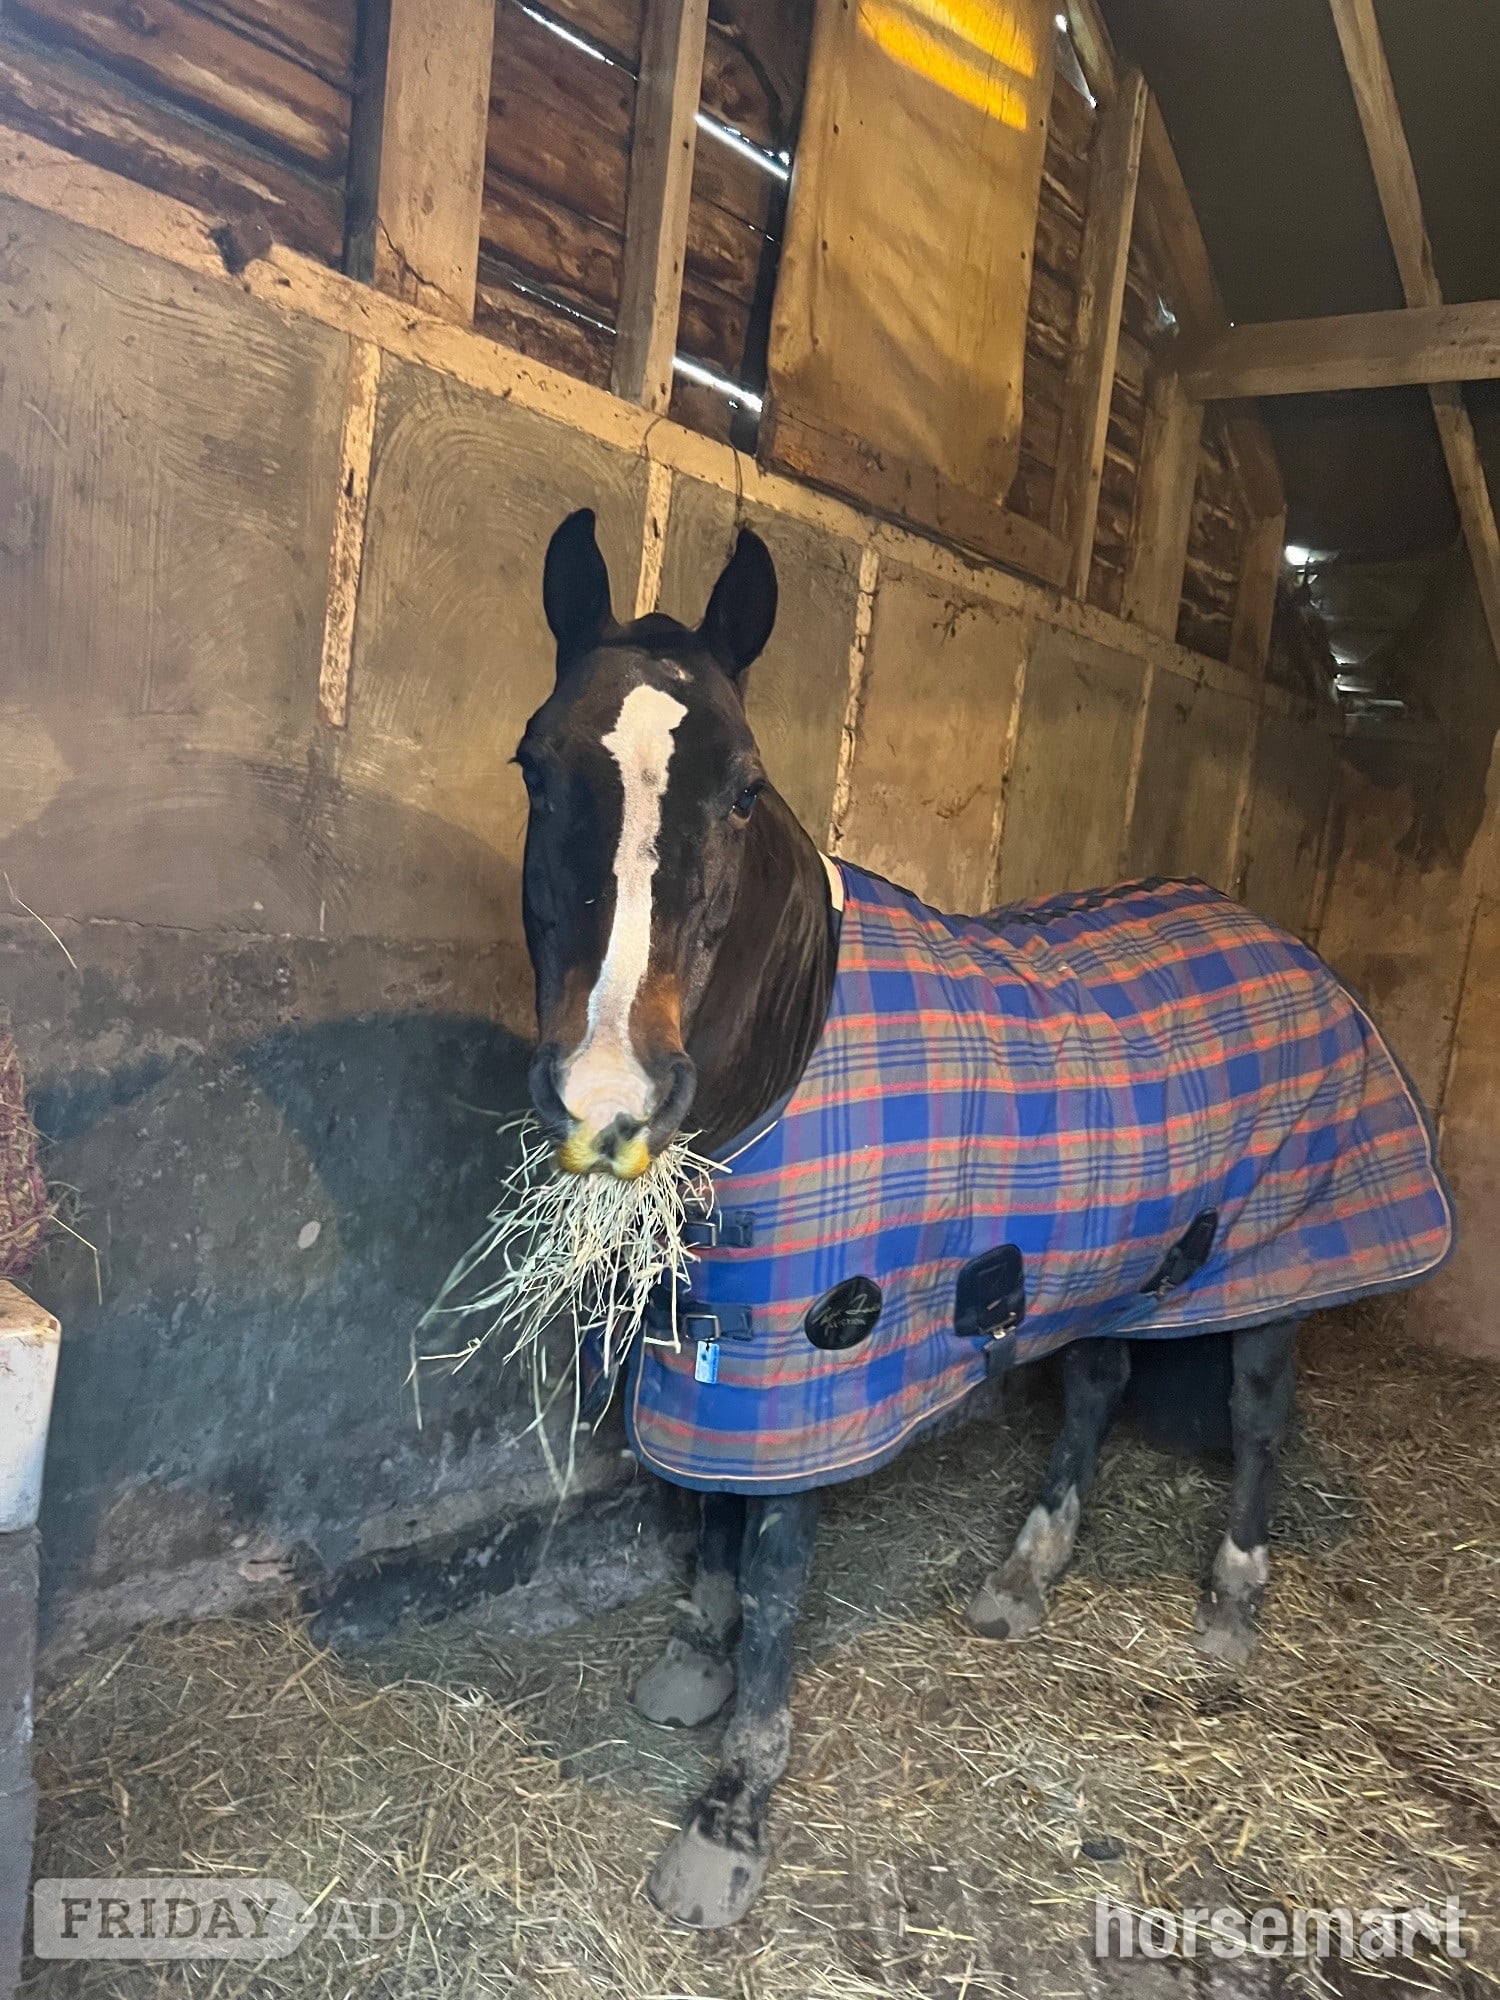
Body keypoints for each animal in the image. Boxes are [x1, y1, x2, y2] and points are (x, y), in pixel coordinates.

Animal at [515, 507, 1455, 1929]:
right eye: (535, 764)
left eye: (743, 789)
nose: (610, 1098)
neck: (795, 1039)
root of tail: (1292, 945)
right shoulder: (725, 1334)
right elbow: (715, 1513)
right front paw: (694, 1658)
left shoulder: (816, 1360)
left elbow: (777, 1568)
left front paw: (729, 1821)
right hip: (1133, 1259)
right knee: (1099, 1384)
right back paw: (1024, 1575)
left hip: (1268, 1265)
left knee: (1255, 1418)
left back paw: (1231, 1607)